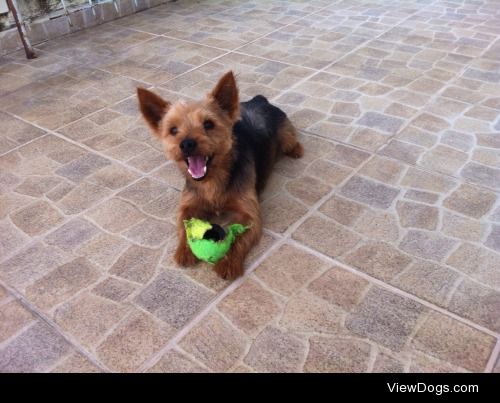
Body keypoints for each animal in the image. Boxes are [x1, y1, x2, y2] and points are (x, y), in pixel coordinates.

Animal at [137, 72, 302, 280]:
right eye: (173, 130)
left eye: (208, 124)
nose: (186, 143)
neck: (212, 180)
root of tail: (259, 100)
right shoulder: (188, 204)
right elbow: (184, 225)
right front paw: (185, 251)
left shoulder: (249, 213)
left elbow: (238, 236)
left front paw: (228, 263)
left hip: (286, 135)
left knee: (292, 141)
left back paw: (297, 150)